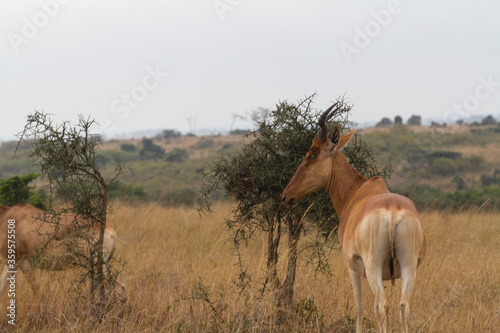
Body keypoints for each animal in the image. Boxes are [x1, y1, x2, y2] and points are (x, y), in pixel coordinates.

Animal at [282, 104, 426, 332]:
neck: (358, 191)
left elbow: (359, 308)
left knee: (384, 306)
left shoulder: (353, 267)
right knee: (403, 305)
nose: (286, 195)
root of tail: (392, 213)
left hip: (373, 265)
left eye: (312, 154)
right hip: (408, 264)